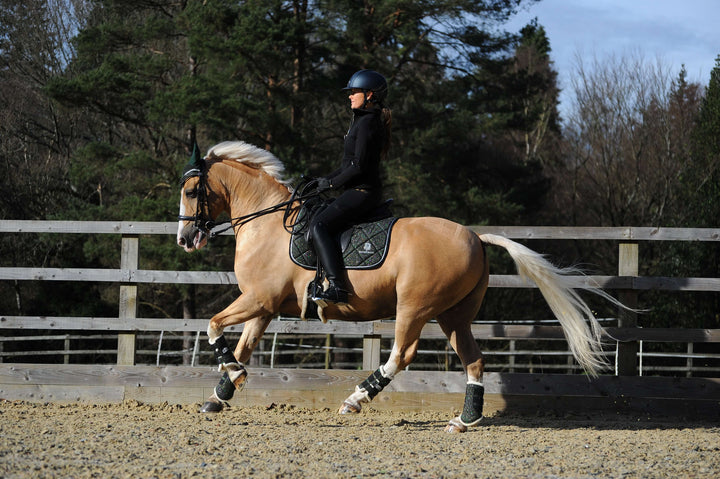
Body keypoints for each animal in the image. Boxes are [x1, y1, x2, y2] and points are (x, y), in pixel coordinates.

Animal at [177, 141, 620, 434]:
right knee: (473, 360)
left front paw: (233, 379)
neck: (266, 223)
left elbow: (214, 327)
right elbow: (241, 345)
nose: (185, 239)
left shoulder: (257, 299)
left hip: (415, 308)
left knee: (402, 354)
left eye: (191, 191)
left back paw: (356, 399)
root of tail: (475, 237)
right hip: (454, 316)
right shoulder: (264, 306)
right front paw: (220, 394)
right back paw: (463, 421)